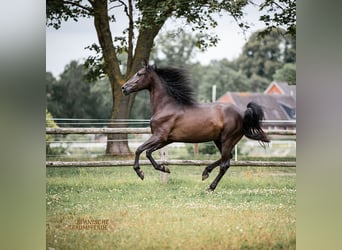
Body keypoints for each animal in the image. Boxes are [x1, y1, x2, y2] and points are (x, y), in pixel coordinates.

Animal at [121, 61, 268, 190]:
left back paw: (210, 187)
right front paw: (165, 168)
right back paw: (205, 172)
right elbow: (148, 152)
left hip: (228, 139)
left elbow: (139, 149)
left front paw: (140, 173)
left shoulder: (159, 136)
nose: (124, 88)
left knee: (225, 164)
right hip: (219, 140)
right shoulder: (167, 139)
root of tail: (242, 113)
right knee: (227, 158)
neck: (166, 107)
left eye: (139, 74)